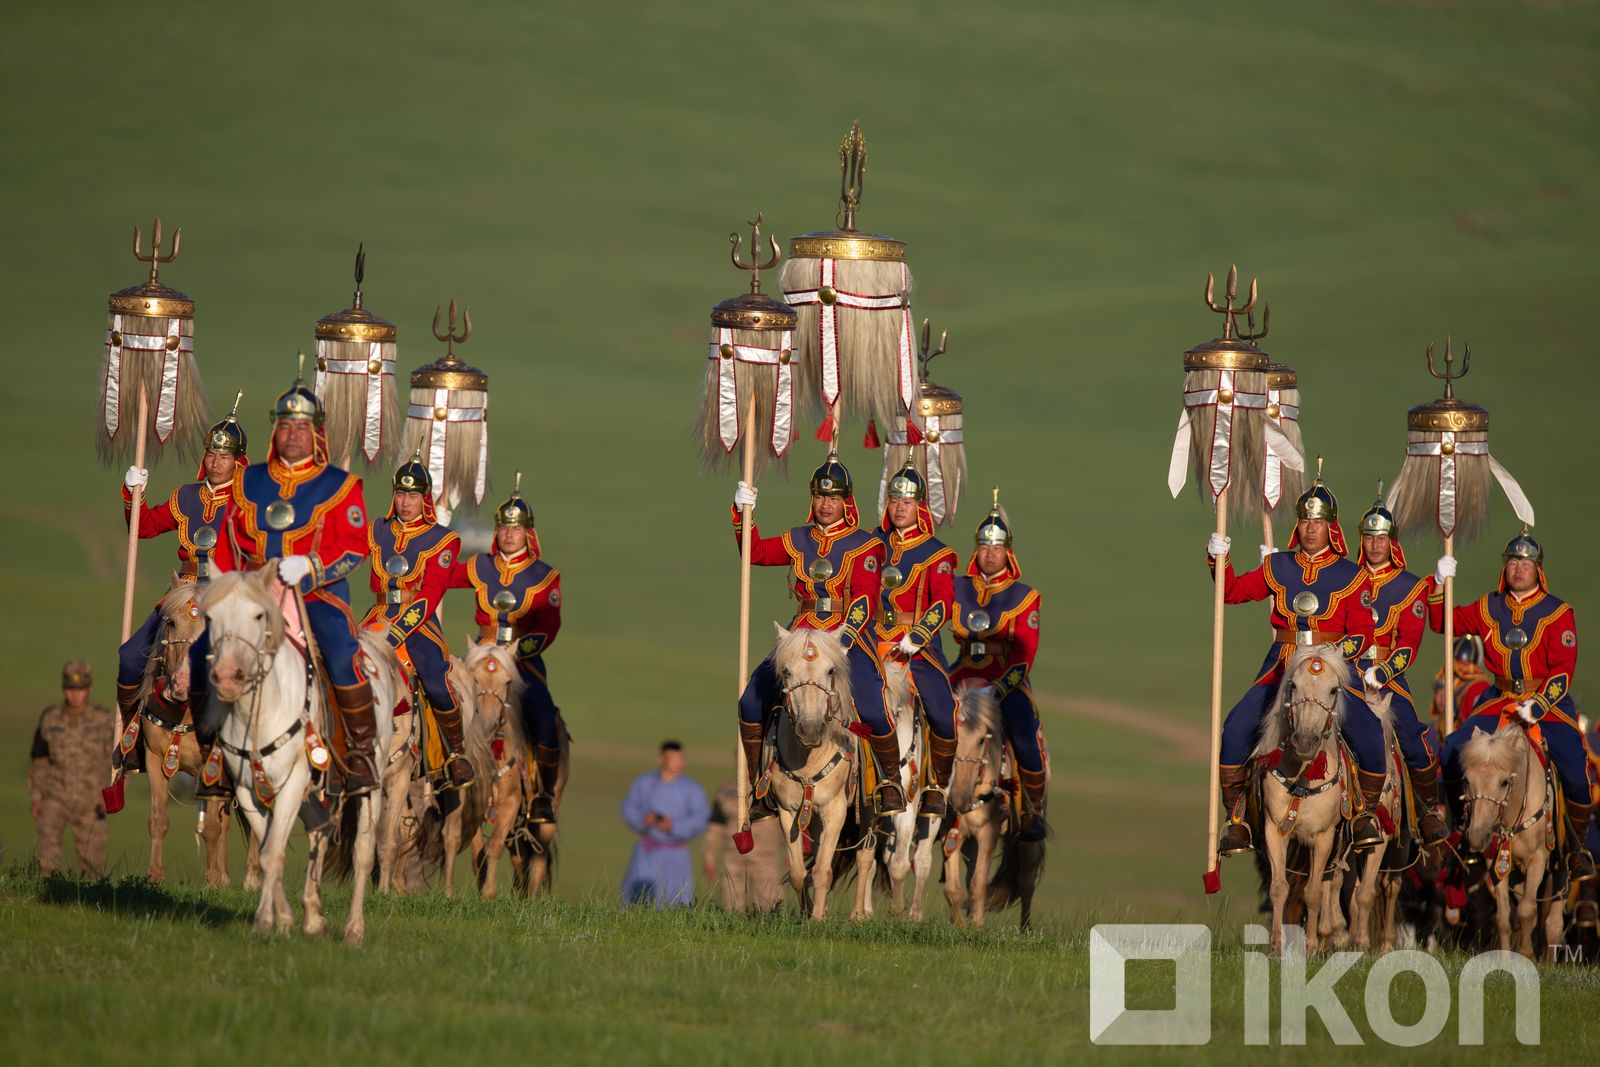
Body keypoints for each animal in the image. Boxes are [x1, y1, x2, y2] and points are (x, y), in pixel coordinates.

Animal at [200, 572, 400, 947]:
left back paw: (354, 929)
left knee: (363, 852)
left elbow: (272, 852)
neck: (260, 711)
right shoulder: (248, 790)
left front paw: (264, 921)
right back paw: (313, 916)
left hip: (369, 786)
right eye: (209, 617)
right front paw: (284, 919)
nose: (228, 676)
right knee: (318, 832)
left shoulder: (292, 782)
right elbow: (269, 850)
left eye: (259, 615)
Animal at [764, 627, 857, 921]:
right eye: (786, 671)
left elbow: (823, 870)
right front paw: (809, 913)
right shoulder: (788, 811)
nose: (810, 730)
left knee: (867, 858)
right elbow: (798, 872)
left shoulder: (835, 810)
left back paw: (859, 914)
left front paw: (816, 920)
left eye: (830, 670)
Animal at [844, 655, 934, 921]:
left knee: (921, 860)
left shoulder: (908, 808)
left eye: (898, 711)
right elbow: (869, 856)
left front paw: (896, 911)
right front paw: (864, 913)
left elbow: (899, 864)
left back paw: (914, 914)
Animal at [1254, 646, 1395, 953]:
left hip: (1377, 838)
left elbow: (1313, 891)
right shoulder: (1274, 831)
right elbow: (1279, 887)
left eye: (1333, 690)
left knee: (1365, 890)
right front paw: (1276, 947)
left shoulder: (1323, 836)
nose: (1305, 741)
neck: (1303, 775)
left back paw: (1360, 942)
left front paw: (1309, 947)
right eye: (1293, 685)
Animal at [1465, 726, 1561, 959]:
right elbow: (1503, 916)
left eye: (1504, 782)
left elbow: (1527, 911)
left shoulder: (1538, 858)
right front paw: (1507, 958)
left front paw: (1527, 956)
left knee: (1553, 920)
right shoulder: (1497, 862)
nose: (1477, 837)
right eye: (1467, 780)